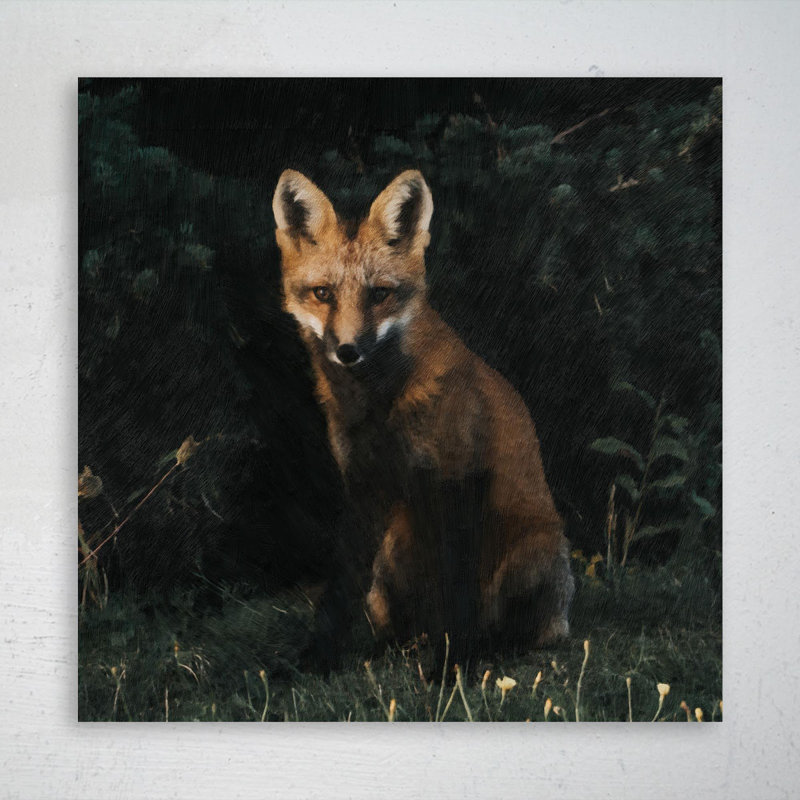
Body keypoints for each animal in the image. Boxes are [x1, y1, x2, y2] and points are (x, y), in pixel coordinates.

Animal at [272, 168, 574, 661]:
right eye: (323, 294)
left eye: (380, 294)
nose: (348, 351)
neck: (380, 406)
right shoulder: (362, 486)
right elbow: (339, 589)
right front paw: (316, 659)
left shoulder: (456, 478)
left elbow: (459, 591)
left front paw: (452, 668)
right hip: (387, 564)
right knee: (403, 626)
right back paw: (401, 647)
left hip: (531, 555)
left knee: (518, 632)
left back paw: (486, 650)